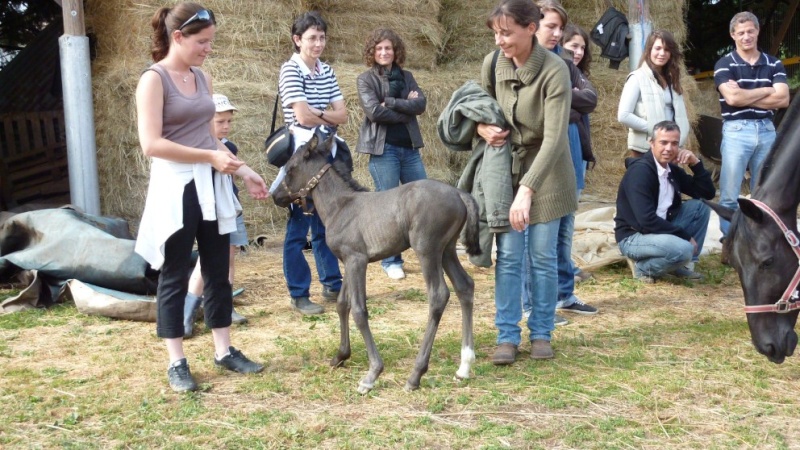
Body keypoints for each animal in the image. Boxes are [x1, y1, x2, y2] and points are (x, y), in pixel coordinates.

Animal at [274, 132, 482, 392]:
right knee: (465, 286)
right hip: (447, 250)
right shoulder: (347, 260)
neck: (340, 205)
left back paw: (416, 374)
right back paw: (465, 365)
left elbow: (359, 310)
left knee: (438, 296)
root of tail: (458, 193)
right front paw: (340, 355)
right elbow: (342, 304)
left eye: (290, 168)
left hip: (428, 249)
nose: (276, 196)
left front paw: (372, 374)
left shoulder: (357, 260)